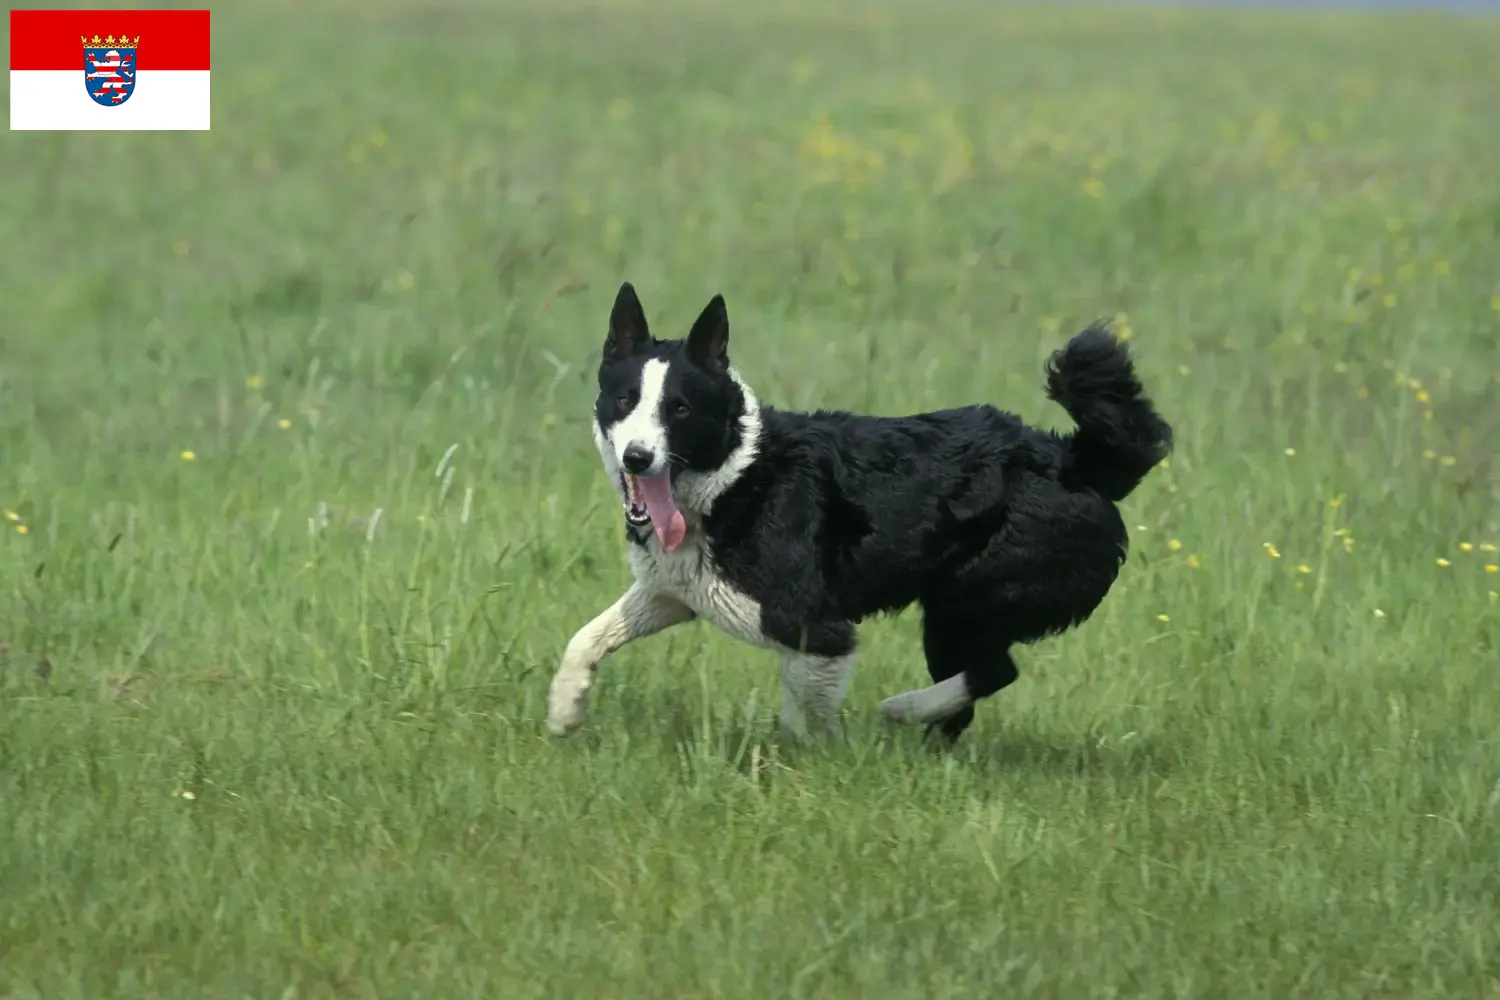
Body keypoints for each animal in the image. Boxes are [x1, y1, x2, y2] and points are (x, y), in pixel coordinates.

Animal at [546, 281, 1176, 743]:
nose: (638, 456)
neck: (733, 477)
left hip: (964, 597)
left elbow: (807, 716)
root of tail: (1078, 460)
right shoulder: (674, 591)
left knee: (994, 671)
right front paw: (564, 711)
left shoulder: (813, 628)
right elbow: (586, 637)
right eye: (624, 401)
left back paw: (902, 711)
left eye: (679, 410)